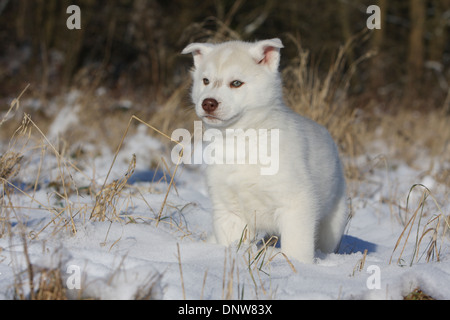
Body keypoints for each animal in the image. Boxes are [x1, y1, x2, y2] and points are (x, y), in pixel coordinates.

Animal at [181, 38, 346, 262]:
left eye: (236, 83)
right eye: (205, 80)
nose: (208, 103)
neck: (241, 141)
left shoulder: (296, 205)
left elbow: (297, 249)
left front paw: (297, 266)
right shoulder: (229, 210)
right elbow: (231, 241)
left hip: (332, 224)